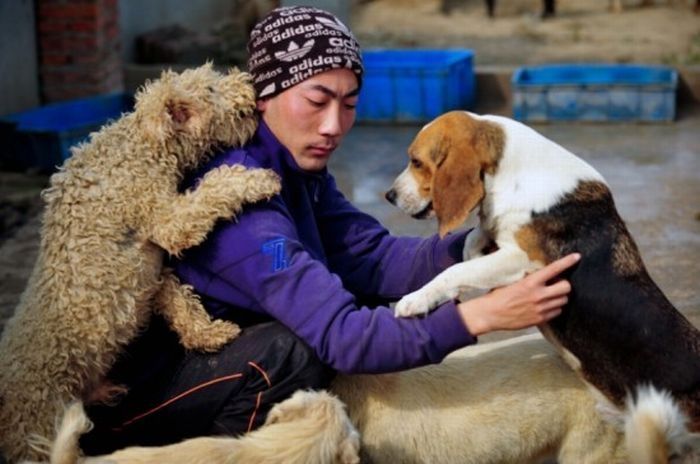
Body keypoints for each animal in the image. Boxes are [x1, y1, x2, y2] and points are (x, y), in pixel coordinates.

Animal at [0, 63, 282, 462]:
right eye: (210, 90)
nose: (251, 85)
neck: (142, 148)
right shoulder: (166, 220)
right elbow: (213, 189)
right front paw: (259, 180)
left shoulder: (149, 274)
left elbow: (180, 302)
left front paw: (210, 334)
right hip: (34, 431)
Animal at [386, 111, 700, 442]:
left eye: (416, 161)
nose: (389, 196)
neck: (511, 174)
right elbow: (472, 240)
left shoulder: (522, 260)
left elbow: (455, 270)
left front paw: (417, 300)